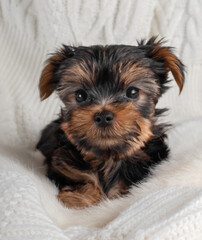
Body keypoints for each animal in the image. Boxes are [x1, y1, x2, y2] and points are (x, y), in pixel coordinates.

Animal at [36, 37, 185, 208]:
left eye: (132, 92)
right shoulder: (61, 165)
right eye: (80, 95)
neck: (108, 157)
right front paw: (80, 196)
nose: (103, 116)